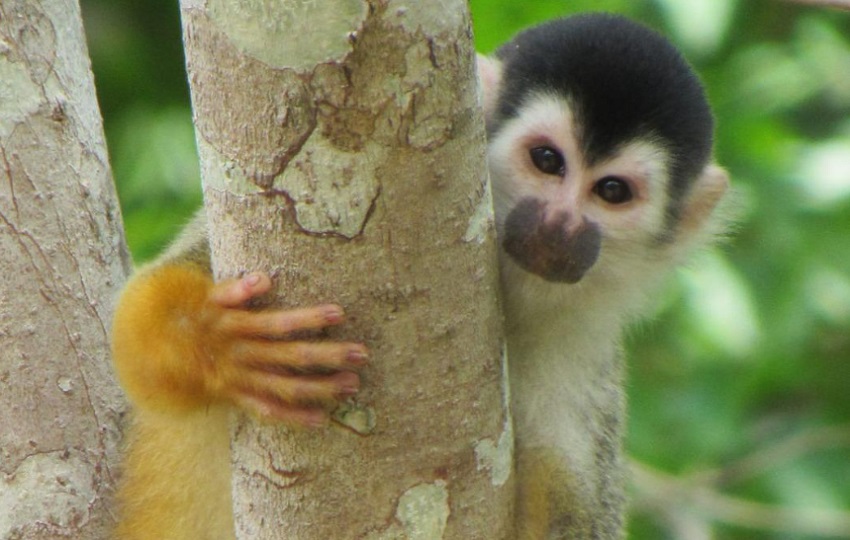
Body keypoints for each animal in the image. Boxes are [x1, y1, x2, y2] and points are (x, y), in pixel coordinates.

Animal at [109, 12, 724, 540]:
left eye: (612, 191)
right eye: (548, 161)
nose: (559, 226)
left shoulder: (583, 353)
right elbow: (142, 331)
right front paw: (217, 343)